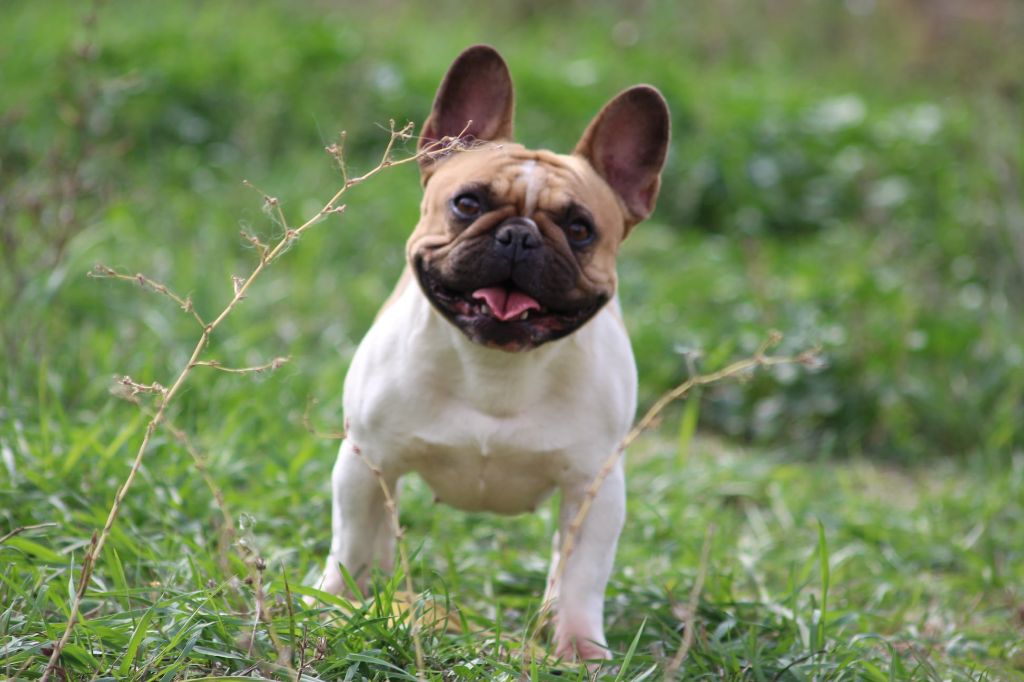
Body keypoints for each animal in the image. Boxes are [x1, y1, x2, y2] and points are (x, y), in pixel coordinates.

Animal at [315, 44, 669, 662]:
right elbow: (353, 542)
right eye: (467, 203)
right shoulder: (367, 460)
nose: (520, 235)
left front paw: (580, 648)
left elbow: (583, 576)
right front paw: (337, 608)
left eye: (580, 228)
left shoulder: (593, 489)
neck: (498, 366)